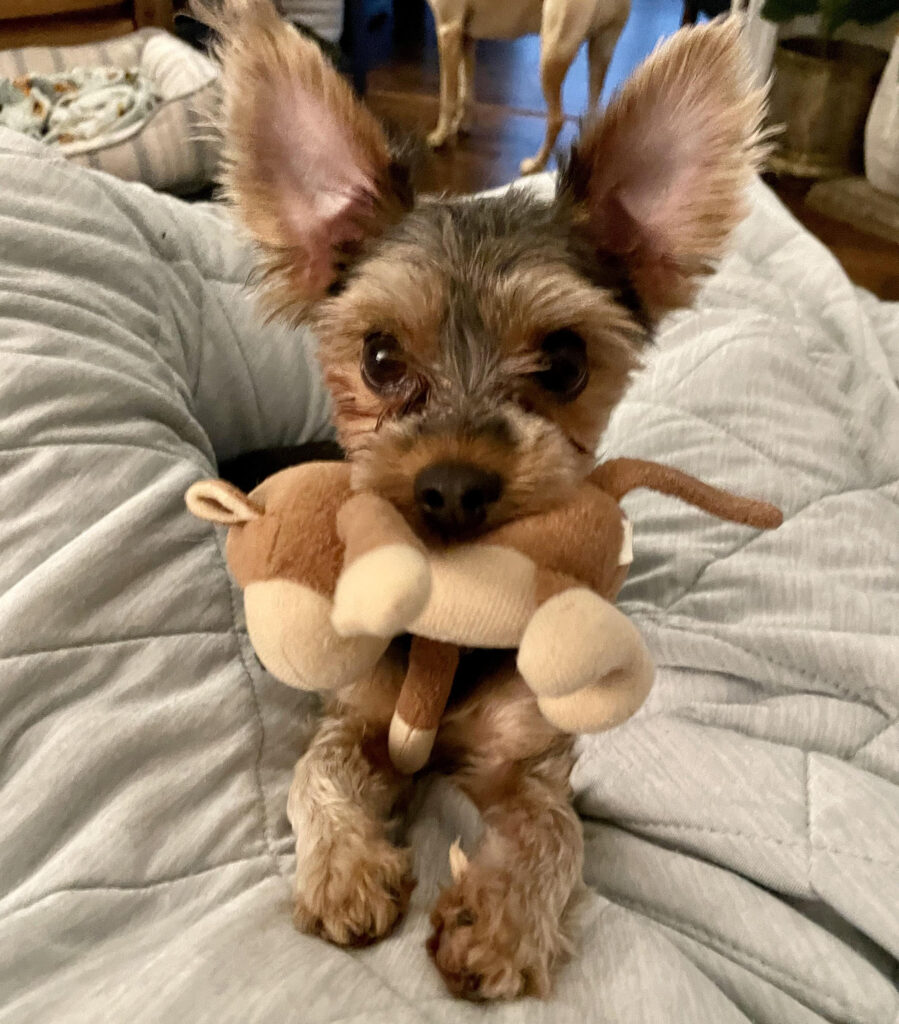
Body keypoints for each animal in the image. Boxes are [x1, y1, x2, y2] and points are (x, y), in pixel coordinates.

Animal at [425, 0, 630, 172]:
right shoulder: (466, 36)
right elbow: (465, 89)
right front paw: (462, 124)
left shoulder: (448, 31)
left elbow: (447, 96)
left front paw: (440, 136)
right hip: (599, 52)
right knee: (593, 113)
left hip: (551, 56)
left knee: (557, 119)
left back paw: (536, 165)